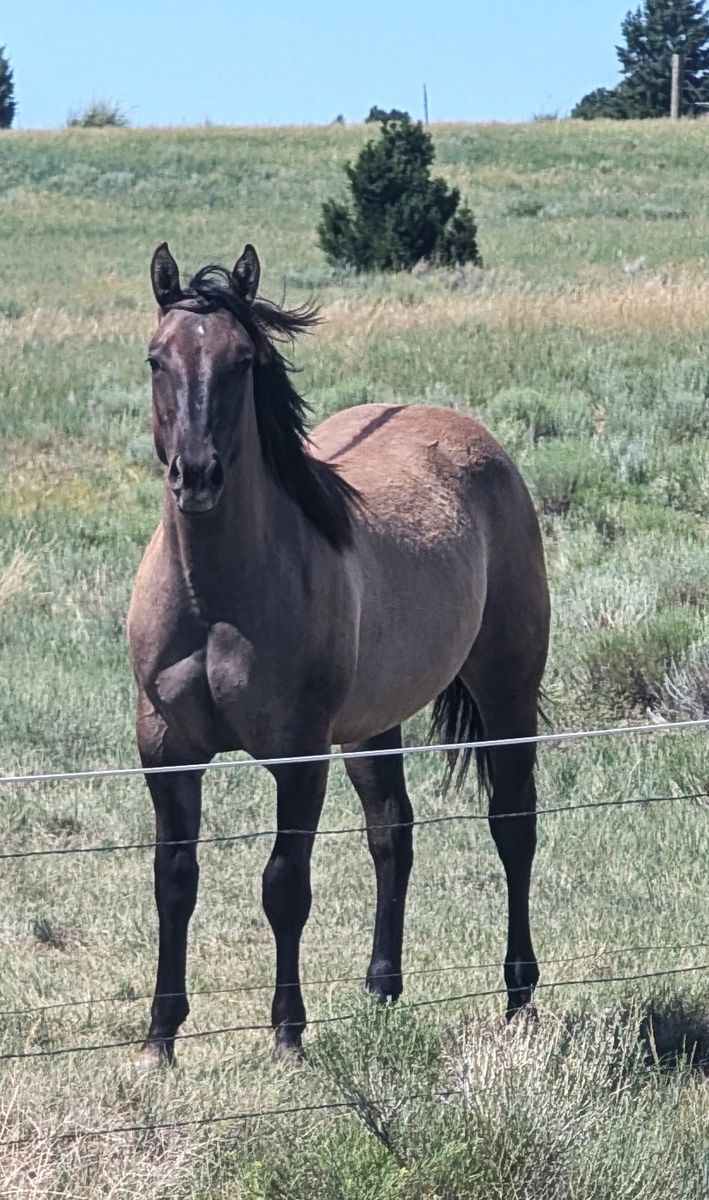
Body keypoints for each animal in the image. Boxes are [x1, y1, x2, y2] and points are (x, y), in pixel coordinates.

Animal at [126, 241, 550, 1065]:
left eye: (243, 362)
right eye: (158, 358)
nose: (196, 476)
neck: (213, 598)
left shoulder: (298, 754)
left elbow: (284, 884)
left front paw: (288, 1033)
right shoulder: (165, 748)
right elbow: (173, 881)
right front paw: (160, 1036)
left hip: (506, 688)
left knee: (513, 824)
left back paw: (519, 998)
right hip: (371, 723)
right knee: (391, 831)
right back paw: (381, 988)